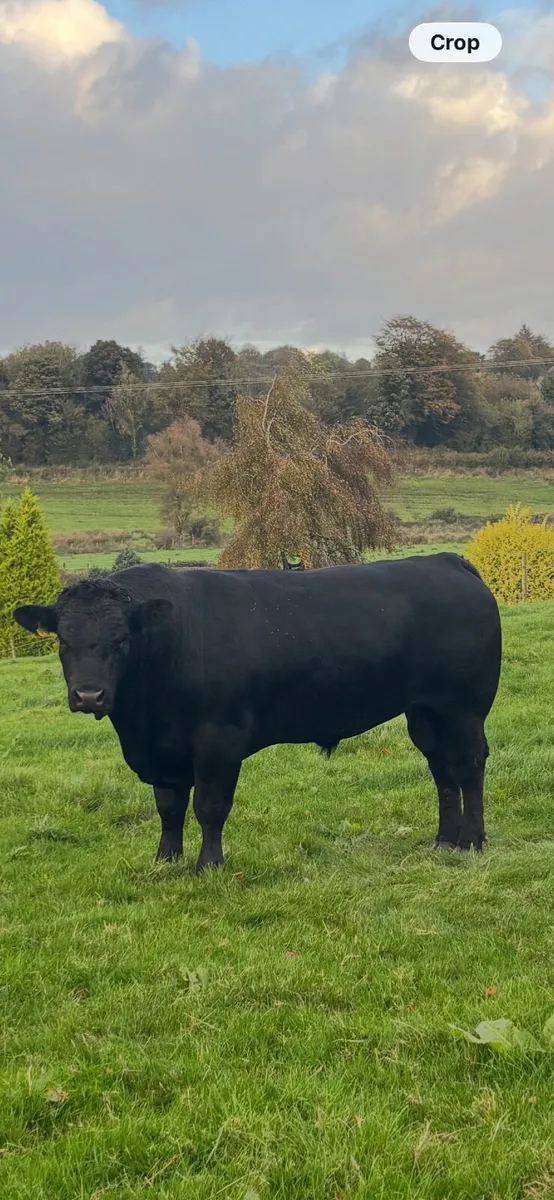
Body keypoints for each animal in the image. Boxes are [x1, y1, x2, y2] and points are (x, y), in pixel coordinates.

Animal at [13, 553, 501, 873]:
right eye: (63, 641)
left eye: (121, 640)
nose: (89, 695)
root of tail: (446, 561)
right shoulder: (162, 750)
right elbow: (169, 807)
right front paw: (165, 861)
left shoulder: (219, 739)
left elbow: (210, 806)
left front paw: (208, 866)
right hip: (425, 713)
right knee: (442, 770)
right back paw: (444, 841)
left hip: (465, 709)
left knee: (469, 766)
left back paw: (472, 841)